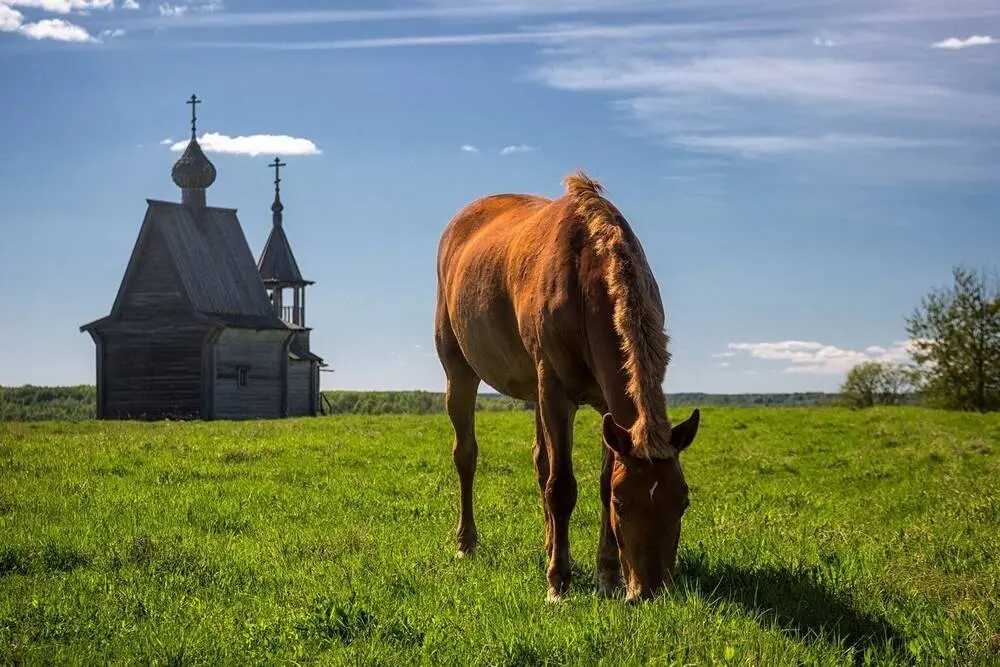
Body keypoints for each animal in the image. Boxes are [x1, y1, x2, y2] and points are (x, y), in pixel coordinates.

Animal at [433, 170, 701, 603]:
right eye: (622, 504)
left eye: (684, 501)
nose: (649, 592)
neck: (587, 275)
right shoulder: (556, 393)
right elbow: (561, 487)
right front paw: (558, 584)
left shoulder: (609, 410)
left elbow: (591, 478)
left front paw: (607, 575)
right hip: (461, 372)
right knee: (467, 455)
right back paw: (466, 543)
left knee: (540, 460)